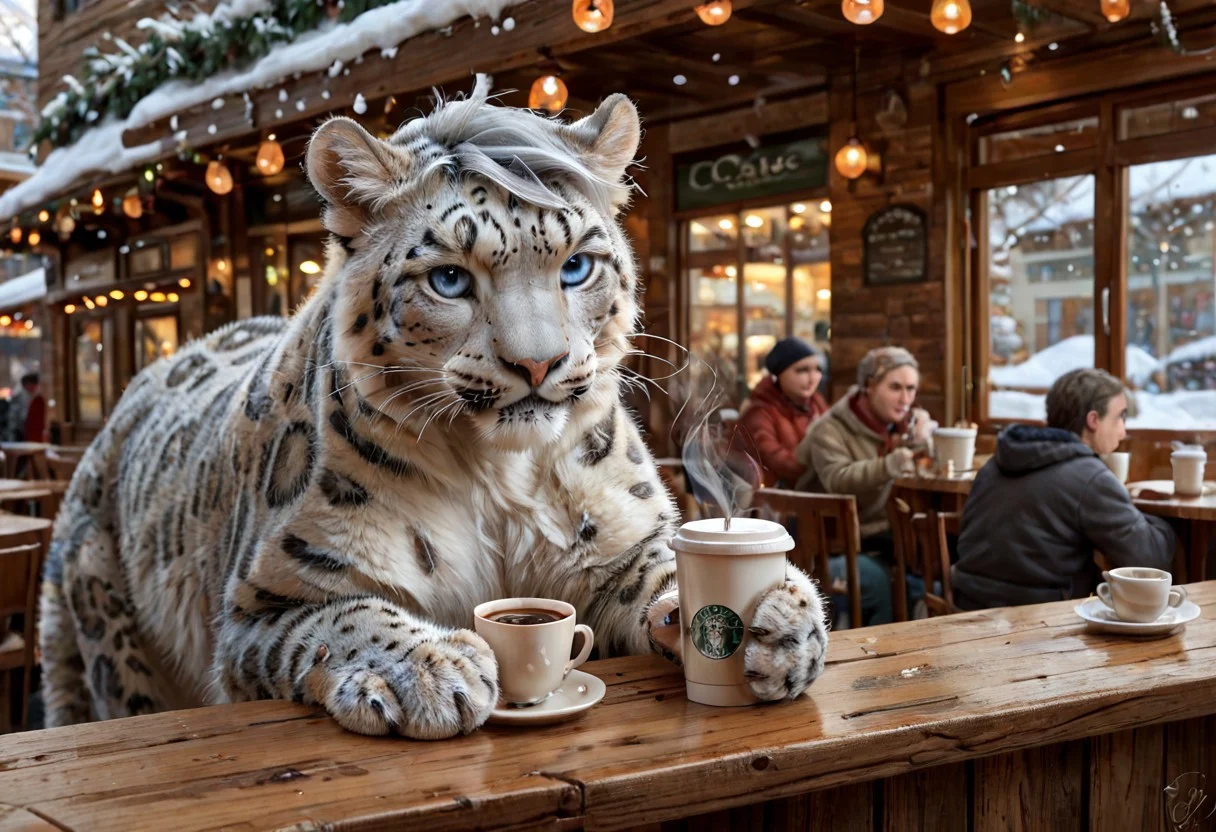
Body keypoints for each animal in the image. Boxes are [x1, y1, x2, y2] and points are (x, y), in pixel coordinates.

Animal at [39, 76, 829, 738]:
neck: (503, 483)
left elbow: (659, 572)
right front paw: (428, 669)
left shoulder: (617, 539)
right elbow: (342, 619)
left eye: (576, 265)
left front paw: (782, 621)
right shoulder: (265, 599)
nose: (537, 363)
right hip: (111, 634)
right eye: (449, 278)